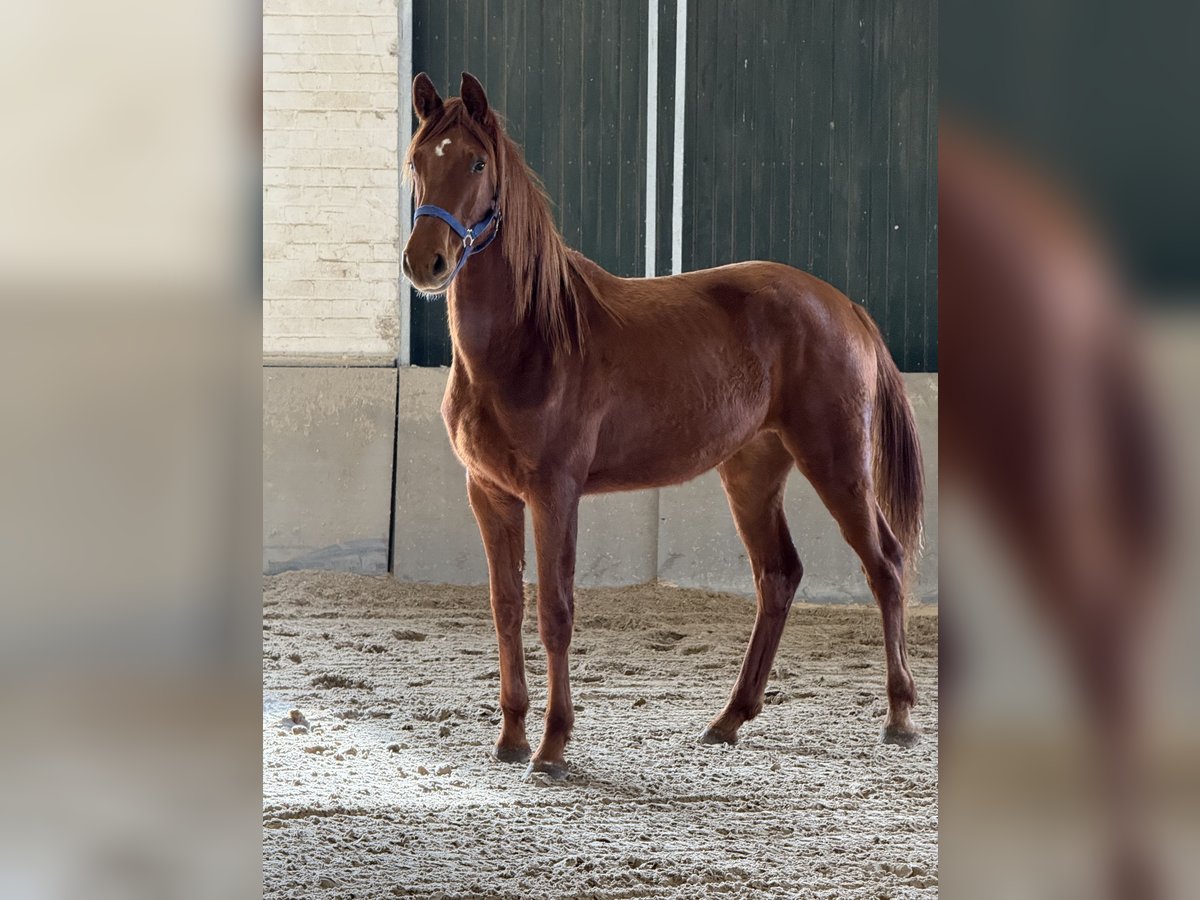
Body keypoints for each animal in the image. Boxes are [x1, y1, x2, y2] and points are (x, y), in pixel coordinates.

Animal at [403, 74, 926, 782]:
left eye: (477, 163)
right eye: (417, 161)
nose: (425, 262)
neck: (530, 341)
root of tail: (844, 306)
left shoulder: (554, 493)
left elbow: (555, 612)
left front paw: (552, 747)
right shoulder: (489, 493)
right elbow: (506, 608)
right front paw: (510, 737)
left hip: (838, 464)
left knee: (886, 565)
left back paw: (899, 718)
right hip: (752, 472)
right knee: (779, 575)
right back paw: (728, 720)